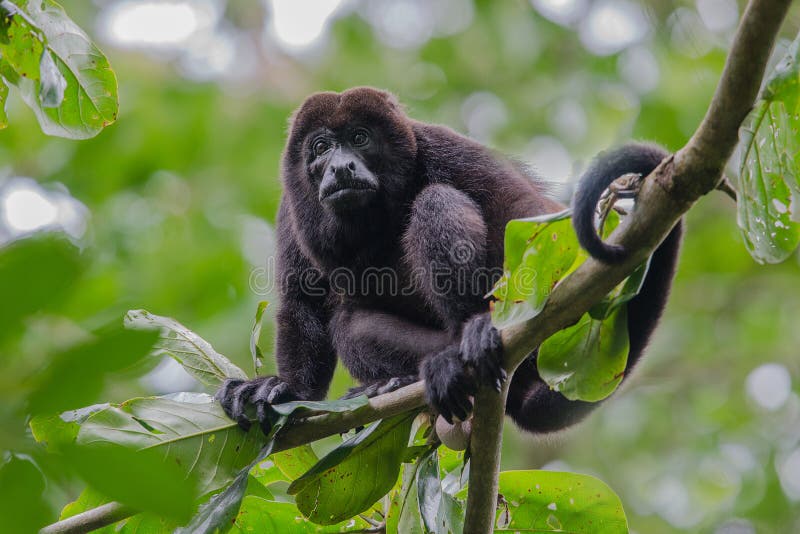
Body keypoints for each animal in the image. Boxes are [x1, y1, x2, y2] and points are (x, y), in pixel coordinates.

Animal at [217, 87, 680, 436]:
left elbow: (518, 208)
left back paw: (470, 336)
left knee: (437, 200)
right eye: (321, 147)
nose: (341, 167)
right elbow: (303, 302)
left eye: (360, 138)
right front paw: (283, 390)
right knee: (350, 324)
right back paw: (406, 378)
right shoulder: (291, 208)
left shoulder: (441, 146)